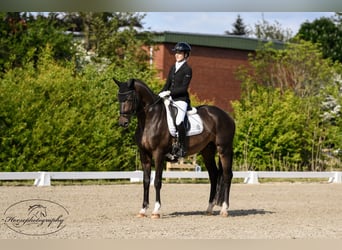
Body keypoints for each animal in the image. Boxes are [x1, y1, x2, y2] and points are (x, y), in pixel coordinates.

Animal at [115, 79, 235, 218]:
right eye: (119, 98)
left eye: (129, 98)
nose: (122, 123)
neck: (150, 119)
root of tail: (228, 116)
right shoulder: (144, 155)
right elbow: (146, 181)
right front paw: (143, 210)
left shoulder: (158, 154)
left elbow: (157, 181)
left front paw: (156, 211)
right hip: (208, 151)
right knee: (214, 175)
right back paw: (209, 209)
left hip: (224, 149)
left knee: (227, 175)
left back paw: (224, 210)